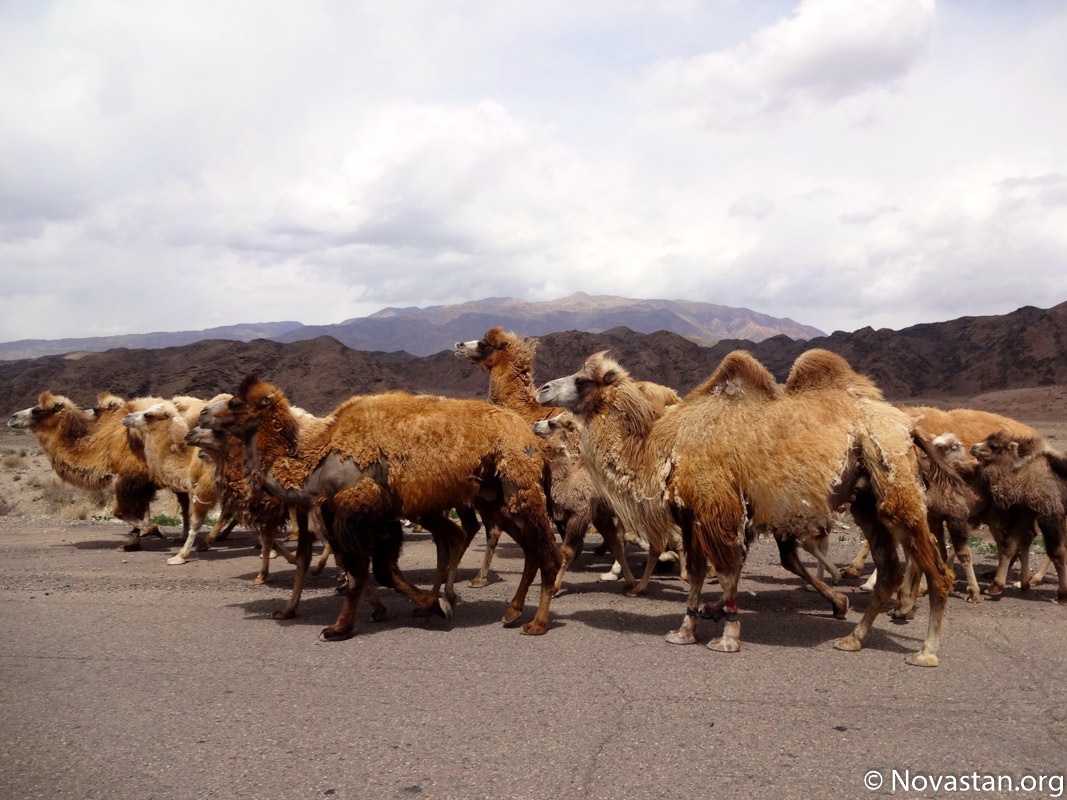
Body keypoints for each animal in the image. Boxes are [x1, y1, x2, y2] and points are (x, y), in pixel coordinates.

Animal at [201, 379, 567, 644]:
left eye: (235, 402)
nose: (202, 415)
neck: (320, 460)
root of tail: (531, 439)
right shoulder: (378, 519)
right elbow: (381, 572)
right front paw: (433, 604)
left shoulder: (357, 510)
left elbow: (359, 574)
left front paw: (338, 628)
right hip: (496, 499)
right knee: (529, 549)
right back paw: (512, 612)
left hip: (519, 487)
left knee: (548, 553)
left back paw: (537, 623)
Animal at [537, 347, 956, 665]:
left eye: (582, 379)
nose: (542, 389)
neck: (662, 448)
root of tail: (907, 425)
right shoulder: (691, 515)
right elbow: (698, 572)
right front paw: (684, 630)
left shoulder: (718, 507)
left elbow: (725, 573)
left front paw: (727, 636)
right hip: (866, 498)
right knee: (889, 567)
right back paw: (853, 637)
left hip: (893, 472)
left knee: (935, 568)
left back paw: (926, 650)